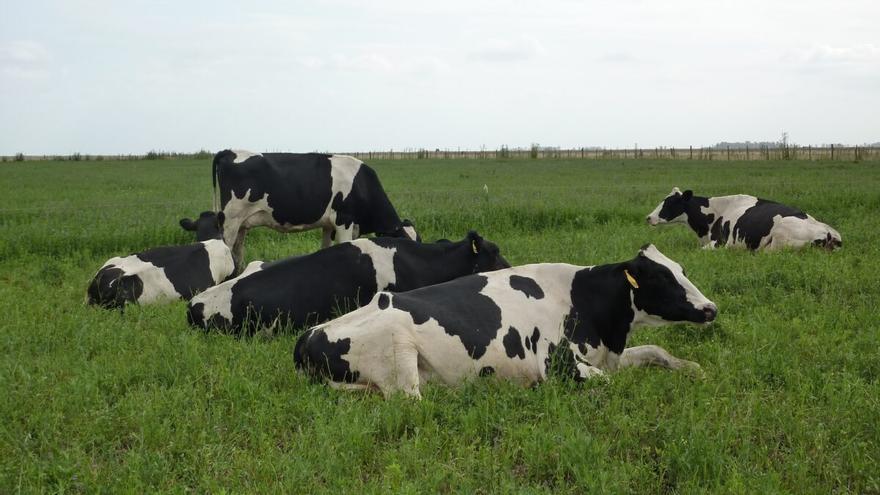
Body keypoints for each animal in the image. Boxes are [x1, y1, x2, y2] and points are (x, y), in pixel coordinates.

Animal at [212, 149, 420, 270]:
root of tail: (230, 151)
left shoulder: (329, 225)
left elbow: (325, 247)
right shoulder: (344, 220)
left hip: (241, 224)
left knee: (237, 252)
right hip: (230, 220)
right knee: (226, 249)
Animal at [292, 244, 720, 400]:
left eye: (681, 269)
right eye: (661, 277)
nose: (711, 308)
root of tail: (308, 336)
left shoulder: (607, 354)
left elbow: (656, 350)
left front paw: (694, 369)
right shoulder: (560, 365)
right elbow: (612, 383)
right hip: (399, 358)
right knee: (411, 401)